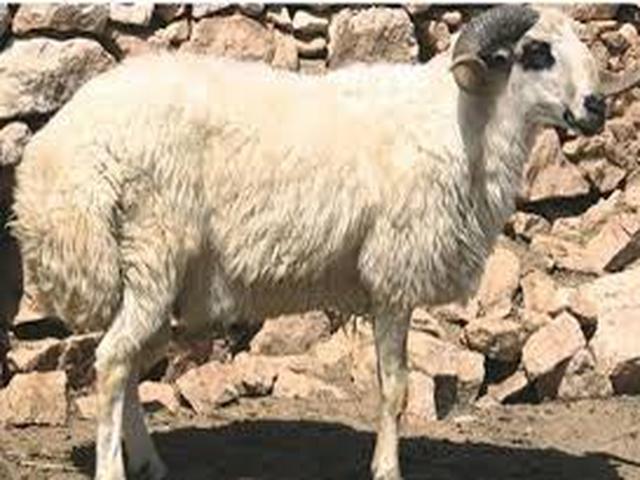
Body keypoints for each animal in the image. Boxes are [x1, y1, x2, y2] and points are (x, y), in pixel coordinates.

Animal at [10, 5, 640, 480]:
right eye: (538, 53)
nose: (596, 107)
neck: (462, 121)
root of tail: (57, 154)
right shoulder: (393, 276)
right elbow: (396, 389)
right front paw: (387, 470)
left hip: (153, 271)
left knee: (129, 361)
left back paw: (149, 462)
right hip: (152, 248)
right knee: (115, 361)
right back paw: (115, 468)